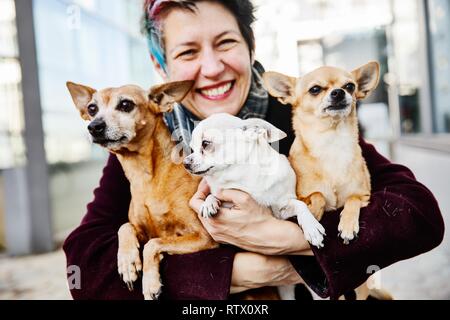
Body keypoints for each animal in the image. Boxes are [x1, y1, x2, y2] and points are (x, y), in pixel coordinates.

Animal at [66, 80, 218, 300]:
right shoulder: (141, 229)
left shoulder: (203, 237)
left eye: (126, 105)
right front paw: (127, 262)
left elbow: (152, 244)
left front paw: (150, 283)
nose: (94, 126)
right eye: (92, 109)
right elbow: (125, 227)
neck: (145, 177)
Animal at [183, 113, 326, 300]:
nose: (185, 162)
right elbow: (214, 194)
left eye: (205, 144)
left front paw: (311, 227)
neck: (242, 181)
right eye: (191, 148)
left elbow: (300, 204)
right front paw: (209, 202)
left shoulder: (282, 210)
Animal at [264, 61, 380, 244]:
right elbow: (318, 195)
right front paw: (314, 215)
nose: (338, 92)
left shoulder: (363, 196)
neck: (331, 141)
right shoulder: (300, 196)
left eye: (350, 86)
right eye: (315, 89)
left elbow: (352, 199)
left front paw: (348, 225)